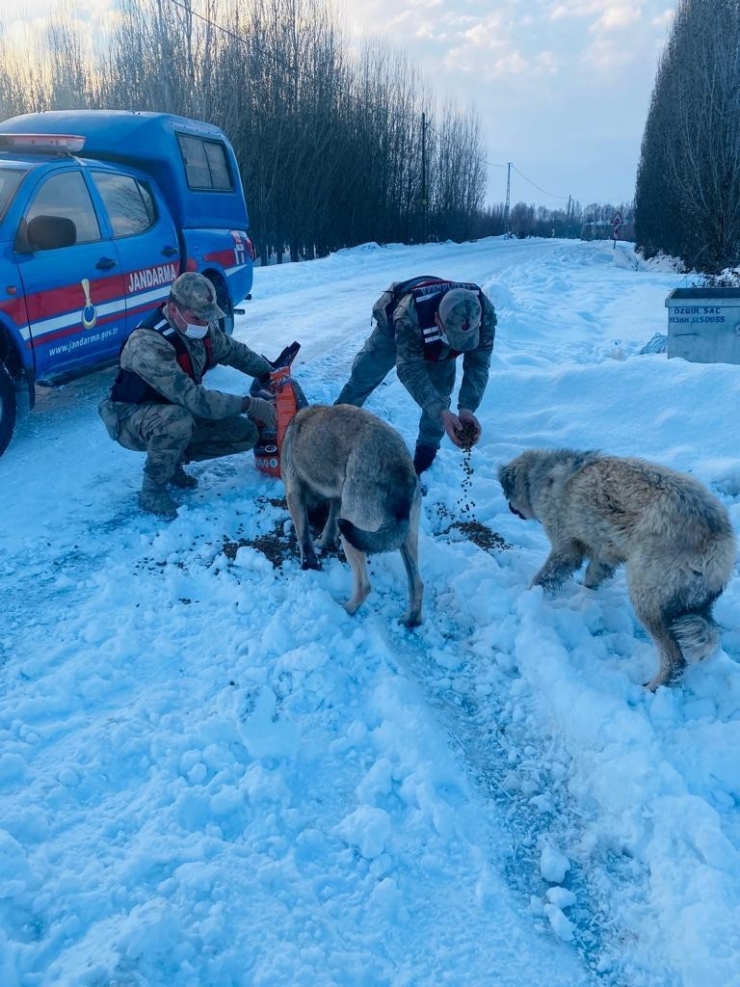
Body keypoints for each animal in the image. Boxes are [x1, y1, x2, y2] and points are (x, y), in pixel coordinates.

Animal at [282, 404, 424, 624]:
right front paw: (323, 544)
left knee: (364, 585)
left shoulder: (294, 495)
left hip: (350, 534)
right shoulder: (337, 500)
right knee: (417, 584)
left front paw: (308, 564)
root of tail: (399, 467)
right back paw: (409, 620)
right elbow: (329, 527)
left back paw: (346, 609)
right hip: (406, 539)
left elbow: (303, 537)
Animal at [498, 452, 736, 692]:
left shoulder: (565, 549)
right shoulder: (603, 552)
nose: (510, 507)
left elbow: (544, 577)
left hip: (646, 596)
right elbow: (593, 575)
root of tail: (716, 536)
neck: (542, 475)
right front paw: (587, 591)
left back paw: (653, 687)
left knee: (674, 658)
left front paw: (527, 597)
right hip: (692, 604)